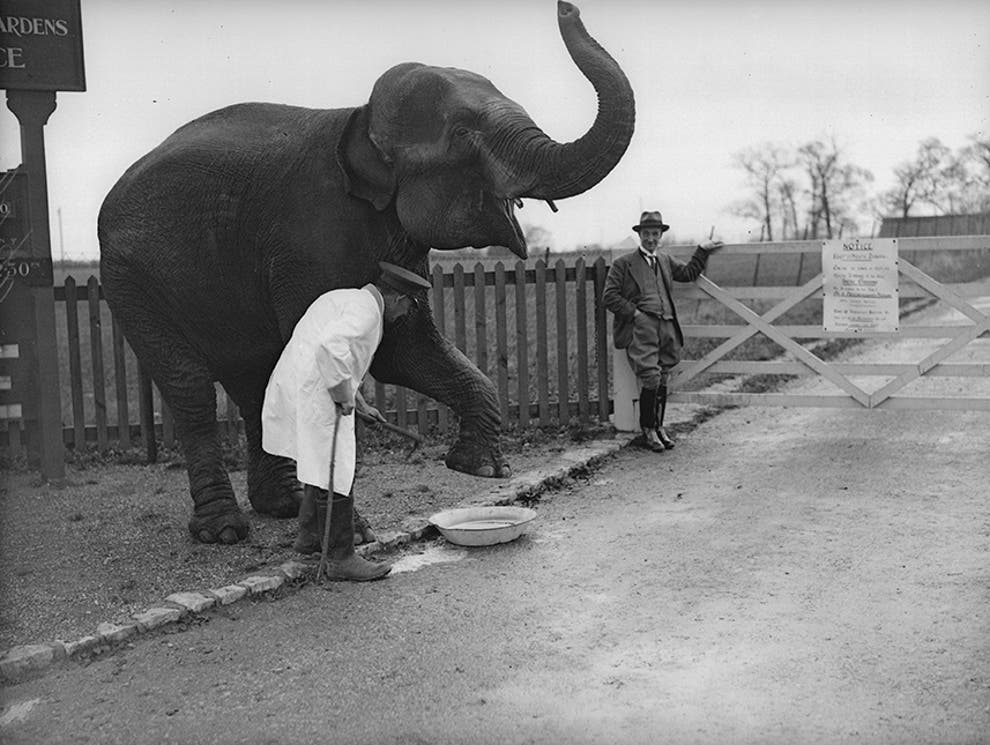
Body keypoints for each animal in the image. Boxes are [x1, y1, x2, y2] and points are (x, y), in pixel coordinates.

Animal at [99, 2, 636, 544]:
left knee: (256, 378)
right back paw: (224, 531)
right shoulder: (309, 241)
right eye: (464, 135)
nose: (566, 8)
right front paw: (351, 538)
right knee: (189, 387)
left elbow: (407, 352)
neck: (359, 121)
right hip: (129, 278)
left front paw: (479, 469)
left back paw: (282, 506)